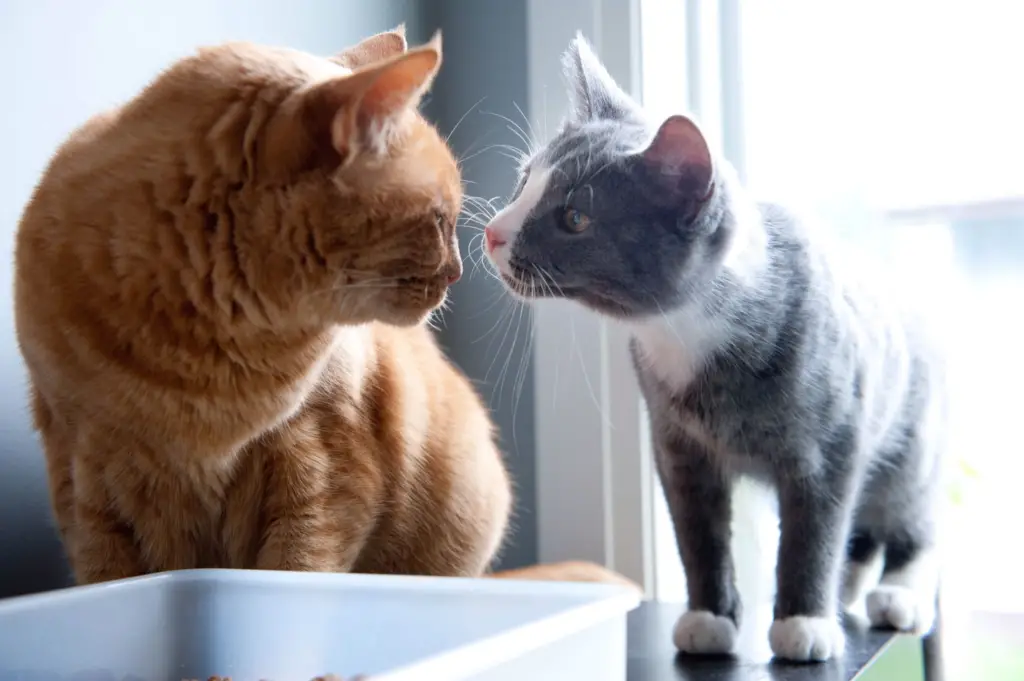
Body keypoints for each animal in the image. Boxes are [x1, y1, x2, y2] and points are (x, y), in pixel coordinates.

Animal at [14, 27, 512, 585]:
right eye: (438, 220)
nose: (458, 273)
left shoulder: (320, 461)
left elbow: (299, 564)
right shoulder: (86, 478)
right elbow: (108, 571)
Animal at [483, 34, 946, 659]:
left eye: (575, 217)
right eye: (524, 180)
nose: (493, 232)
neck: (686, 333)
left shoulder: (831, 442)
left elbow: (815, 528)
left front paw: (804, 621)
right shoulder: (677, 445)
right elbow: (698, 534)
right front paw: (710, 617)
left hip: (911, 433)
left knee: (907, 513)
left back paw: (897, 593)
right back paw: (845, 588)